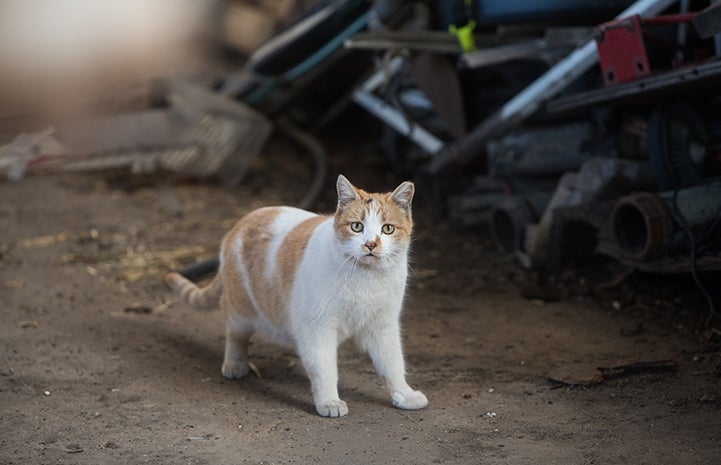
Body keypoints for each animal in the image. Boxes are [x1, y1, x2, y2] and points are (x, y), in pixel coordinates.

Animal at [165, 174, 428, 416]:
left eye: (387, 229)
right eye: (357, 227)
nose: (371, 244)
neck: (366, 279)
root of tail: (240, 222)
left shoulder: (383, 326)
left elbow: (393, 363)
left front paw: (404, 394)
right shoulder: (318, 327)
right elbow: (324, 368)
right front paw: (329, 402)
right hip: (240, 308)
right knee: (235, 334)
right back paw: (235, 364)